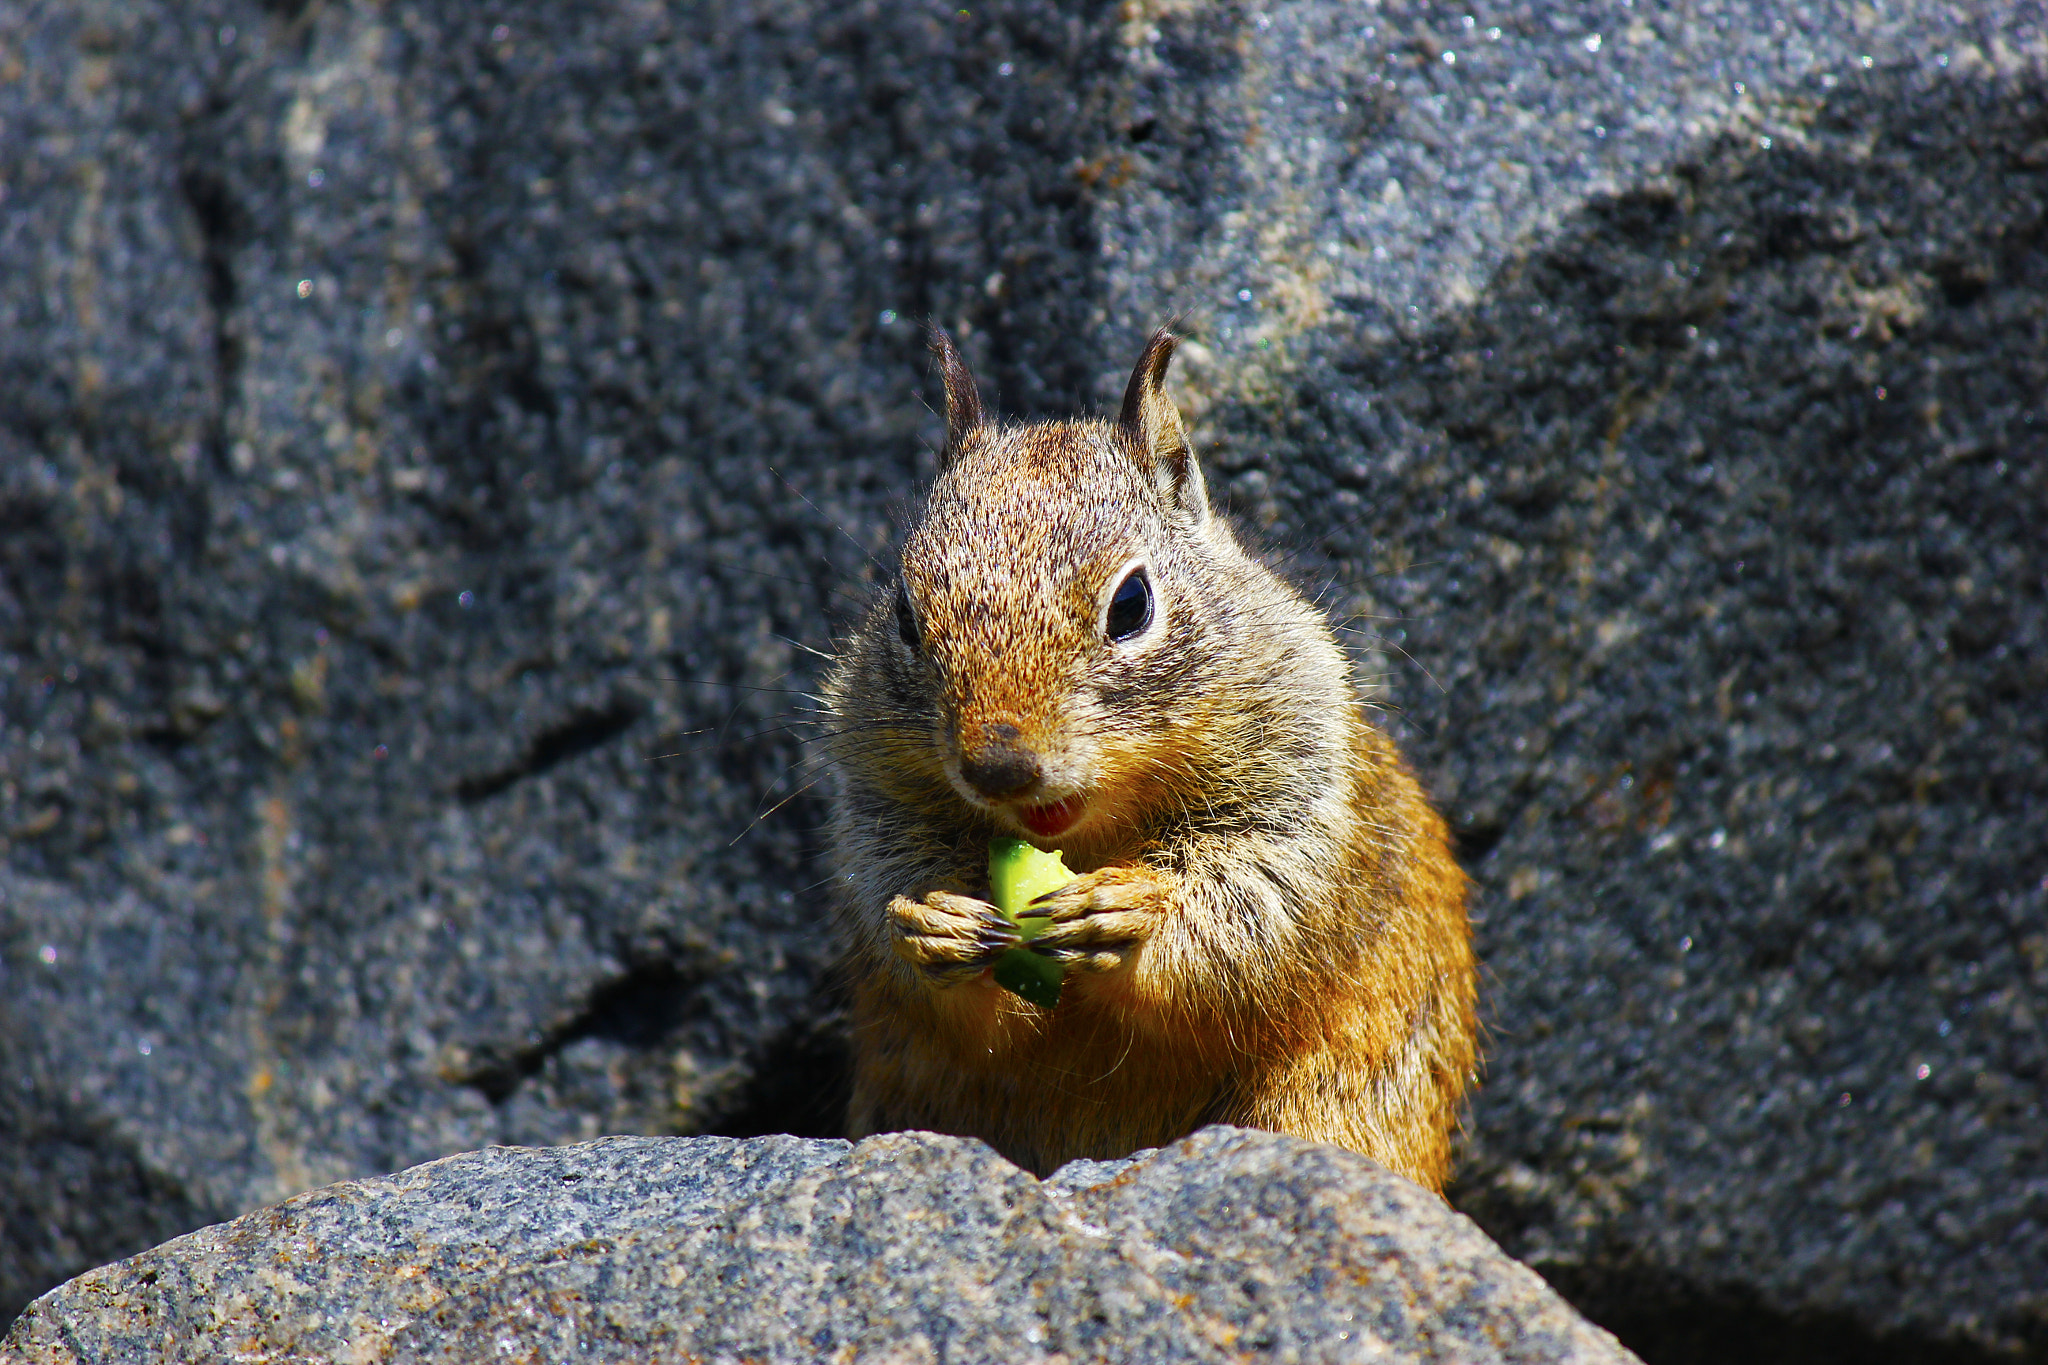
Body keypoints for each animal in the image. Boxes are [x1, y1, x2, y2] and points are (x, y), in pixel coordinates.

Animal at [819, 327, 1478, 1192]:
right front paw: (934, 922)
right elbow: (890, 907)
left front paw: (1133, 912)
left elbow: (1254, 903)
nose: (998, 766)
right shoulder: (874, 799)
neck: (1094, 832)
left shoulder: (1299, 797)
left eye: (1131, 604)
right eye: (903, 612)